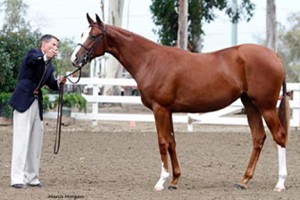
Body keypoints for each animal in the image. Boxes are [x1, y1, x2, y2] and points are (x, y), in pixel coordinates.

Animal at [71, 14, 290, 192]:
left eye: (93, 36)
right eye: (82, 33)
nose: (75, 59)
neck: (150, 60)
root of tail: (274, 55)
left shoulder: (159, 109)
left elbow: (162, 142)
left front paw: (161, 181)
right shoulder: (168, 111)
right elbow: (172, 143)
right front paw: (174, 181)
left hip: (266, 106)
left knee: (279, 136)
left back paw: (280, 183)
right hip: (250, 104)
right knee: (258, 137)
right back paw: (244, 181)